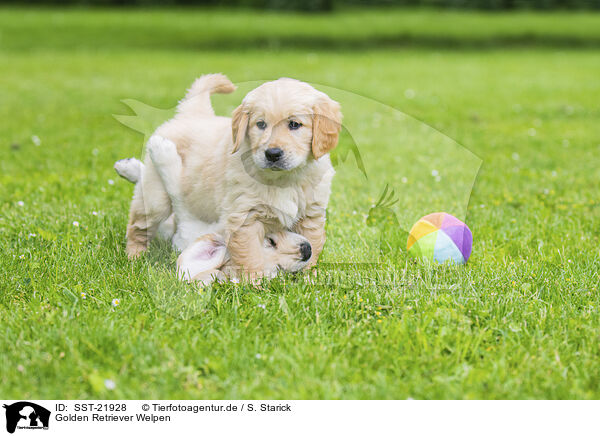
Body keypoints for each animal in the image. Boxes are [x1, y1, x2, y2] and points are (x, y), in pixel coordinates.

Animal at [126, 71, 342, 276]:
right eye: (261, 124)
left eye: (294, 124)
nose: (272, 154)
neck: (283, 179)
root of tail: (191, 115)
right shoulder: (245, 216)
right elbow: (250, 255)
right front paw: (254, 283)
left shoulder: (311, 213)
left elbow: (313, 243)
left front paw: (309, 278)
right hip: (156, 199)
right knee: (138, 226)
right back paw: (134, 257)